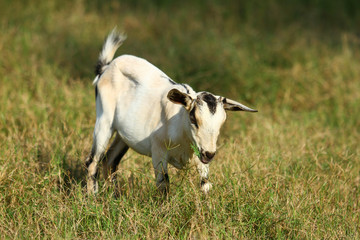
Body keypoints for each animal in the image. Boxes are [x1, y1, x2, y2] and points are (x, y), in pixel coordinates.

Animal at [86, 29, 258, 195]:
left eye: (222, 122)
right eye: (193, 119)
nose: (209, 154)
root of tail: (106, 67)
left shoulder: (201, 159)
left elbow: (206, 185)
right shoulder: (159, 151)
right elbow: (163, 185)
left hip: (123, 135)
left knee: (109, 161)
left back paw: (115, 196)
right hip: (104, 120)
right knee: (92, 161)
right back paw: (93, 196)